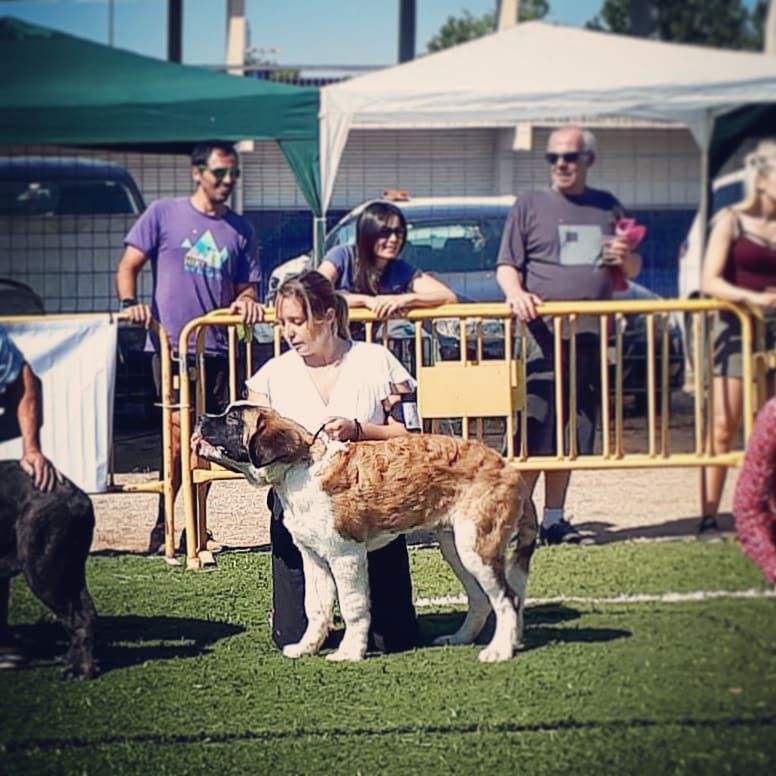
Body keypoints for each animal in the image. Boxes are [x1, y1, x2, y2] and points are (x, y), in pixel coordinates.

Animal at [0, 460, 98, 680]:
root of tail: (80, 498)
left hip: (43, 572)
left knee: (79, 618)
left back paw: (80, 671)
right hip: (68, 571)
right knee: (85, 612)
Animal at [194, 404, 536, 664]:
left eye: (232, 419)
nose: (199, 417)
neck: (299, 469)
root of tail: (504, 464)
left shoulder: (346, 555)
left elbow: (353, 606)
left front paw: (349, 653)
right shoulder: (314, 559)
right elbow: (316, 607)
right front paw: (306, 648)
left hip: (476, 546)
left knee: (506, 597)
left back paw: (499, 651)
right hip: (456, 547)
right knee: (481, 598)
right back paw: (462, 638)